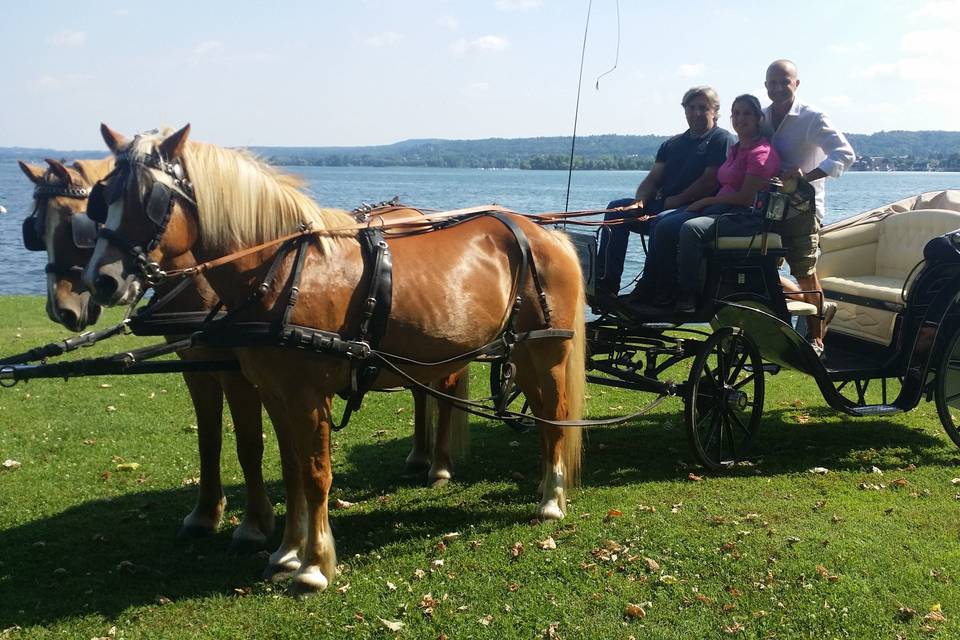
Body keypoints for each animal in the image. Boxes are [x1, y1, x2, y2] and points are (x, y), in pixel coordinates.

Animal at [84, 125, 584, 596]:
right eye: (102, 198)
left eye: (152, 199)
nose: (101, 280)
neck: (282, 273)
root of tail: (544, 233)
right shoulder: (276, 393)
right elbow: (290, 471)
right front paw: (286, 552)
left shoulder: (308, 396)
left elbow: (315, 475)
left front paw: (313, 565)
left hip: (543, 352)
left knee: (555, 415)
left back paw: (551, 498)